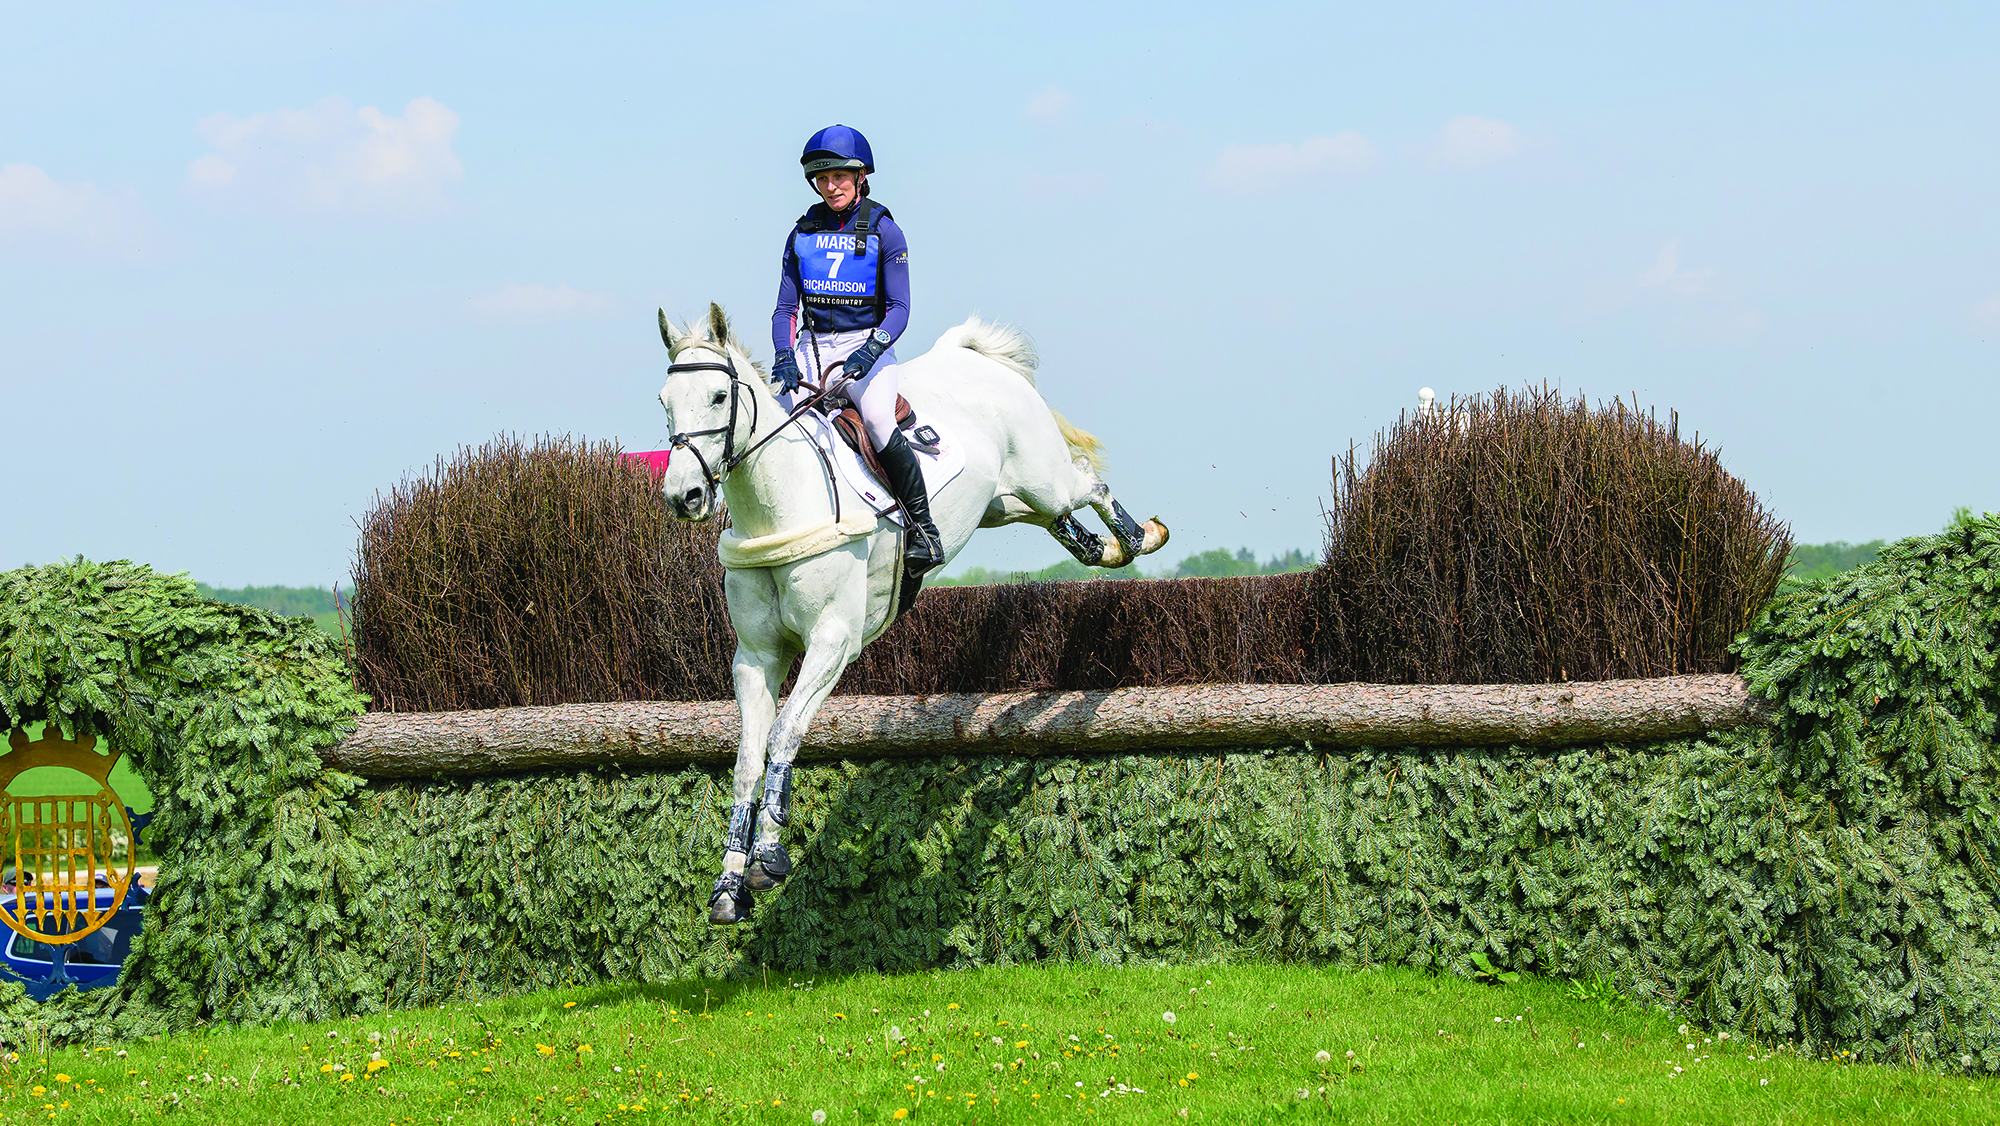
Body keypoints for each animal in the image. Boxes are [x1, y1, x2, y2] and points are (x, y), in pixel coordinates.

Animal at [655, 303, 1169, 923]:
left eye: (716, 396)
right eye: (664, 400)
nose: (682, 496)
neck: (781, 505)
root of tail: (969, 355)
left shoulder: (833, 640)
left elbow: (785, 732)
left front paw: (769, 857)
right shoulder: (757, 657)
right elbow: (748, 760)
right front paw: (729, 885)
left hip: (1043, 478)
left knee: (1089, 483)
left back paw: (1138, 538)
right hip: (1004, 502)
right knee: (1057, 521)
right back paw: (1104, 550)